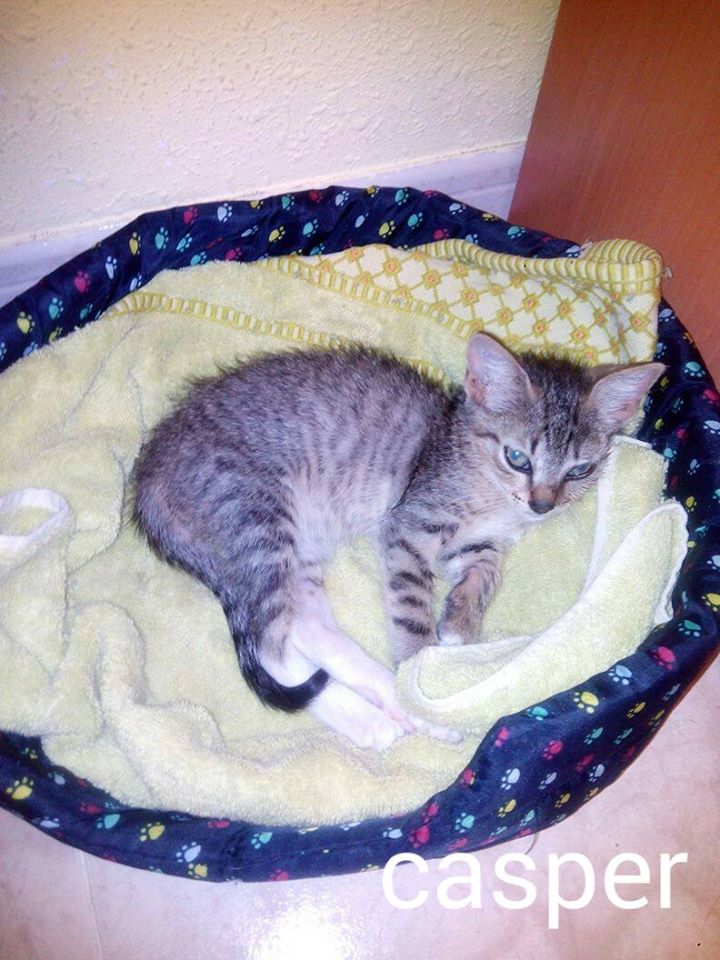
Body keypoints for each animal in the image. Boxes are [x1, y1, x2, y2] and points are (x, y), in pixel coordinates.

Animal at [131, 333, 664, 750]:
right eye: (518, 458)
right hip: (256, 518)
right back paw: (387, 714)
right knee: (271, 647)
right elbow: (412, 609)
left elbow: (487, 569)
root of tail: (147, 481)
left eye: (580, 470)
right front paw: (419, 666)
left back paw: (389, 701)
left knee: (306, 626)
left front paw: (460, 621)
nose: (543, 505)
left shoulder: (476, 543)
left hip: (296, 543)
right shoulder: (408, 526)